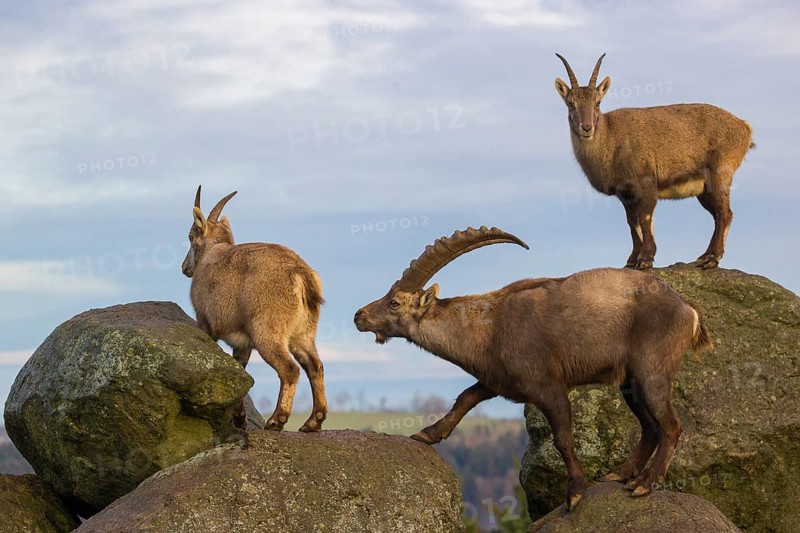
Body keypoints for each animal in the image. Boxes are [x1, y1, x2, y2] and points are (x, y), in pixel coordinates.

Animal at [182, 186, 327, 432]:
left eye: (191, 237)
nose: (184, 268)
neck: (213, 252)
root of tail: (300, 274)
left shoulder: (205, 322)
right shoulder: (243, 342)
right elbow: (240, 370)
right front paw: (240, 418)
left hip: (267, 331)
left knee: (290, 369)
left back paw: (276, 420)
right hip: (303, 333)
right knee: (315, 366)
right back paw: (313, 422)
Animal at [354, 226, 713, 510]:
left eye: (394, 303)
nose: (358, 315)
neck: (486, 329)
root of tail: (689, 310)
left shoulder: (548, 387)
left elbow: (563, 440)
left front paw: (575, 493)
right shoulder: (497, 381)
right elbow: (465, 398)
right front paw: (428, 434)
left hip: (651, 373)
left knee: (670, 426)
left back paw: (645, 484)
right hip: (630, 382)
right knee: (650, 427)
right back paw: (622, 474)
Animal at [554, 53, 754, 270]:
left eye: (597, 103)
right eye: (570, 104)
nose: (587, 127)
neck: (610, 137)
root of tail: (744, 127)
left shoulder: (646, 182)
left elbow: (645, 218)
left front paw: (645, 259)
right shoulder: (625, 193)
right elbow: (632, 222)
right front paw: (632, 259)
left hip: (720, 172)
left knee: (725, 213)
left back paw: (712, 258)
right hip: (704, 189)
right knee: (718, 214)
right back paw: (704, 256)